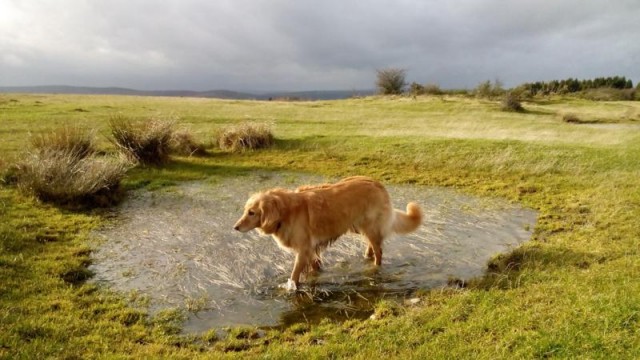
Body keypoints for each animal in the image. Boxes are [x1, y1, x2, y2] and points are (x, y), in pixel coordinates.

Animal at [232, 176, 422, 292]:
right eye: (245, 211)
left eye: (252, 212)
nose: (235, 227)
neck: (284, 211)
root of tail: (378, 184)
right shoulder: (310, 250)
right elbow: (314, 267)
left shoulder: (303, 249)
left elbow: (294, 274)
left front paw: (291, 288)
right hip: (363, 228)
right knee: (372, 247)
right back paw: (366, 258)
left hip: (371, 227)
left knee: (379, 252)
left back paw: (375, 268)